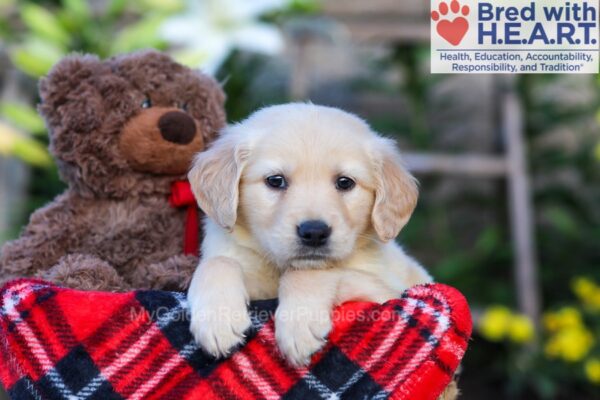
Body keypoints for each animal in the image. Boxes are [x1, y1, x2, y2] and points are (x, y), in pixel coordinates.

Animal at [188, 102, 432, 366]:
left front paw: (299, 324)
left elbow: (307, 272)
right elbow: (218, 262)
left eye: (345, 182)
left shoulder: (385, 292)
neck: (277, 267)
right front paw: (218, 319)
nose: (314, 232)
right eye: (275, 180)